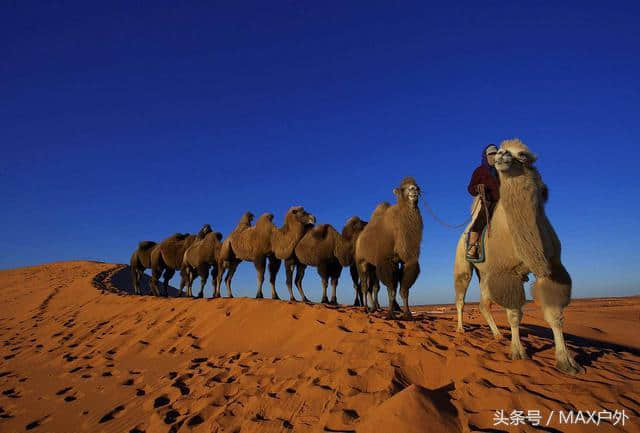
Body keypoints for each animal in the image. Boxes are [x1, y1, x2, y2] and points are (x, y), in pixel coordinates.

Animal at [356, 175, 424, 318]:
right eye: (402, 188)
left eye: (417, 185)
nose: (414, 189)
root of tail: (359, 239)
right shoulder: (386, 260)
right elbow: (391, 289)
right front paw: (391, 314)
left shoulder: (407, 261)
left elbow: (404, 289)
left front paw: (408, 314)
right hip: (361, 262)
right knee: (364, 286)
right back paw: (365, 309)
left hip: (373, 266)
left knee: (373, 287)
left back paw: (373, 309)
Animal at [452, 139, 584, 374]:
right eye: (496, 152)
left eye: (522, 154)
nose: (501, 155)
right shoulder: (507, 272)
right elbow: (514, 314)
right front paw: (518, 352)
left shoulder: (553, 269)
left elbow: (555, 315)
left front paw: (566, 361)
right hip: (463, 266)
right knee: (460, 298)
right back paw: (460, 329)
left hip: (486, 274)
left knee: (484, 304)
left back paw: (497, 335)